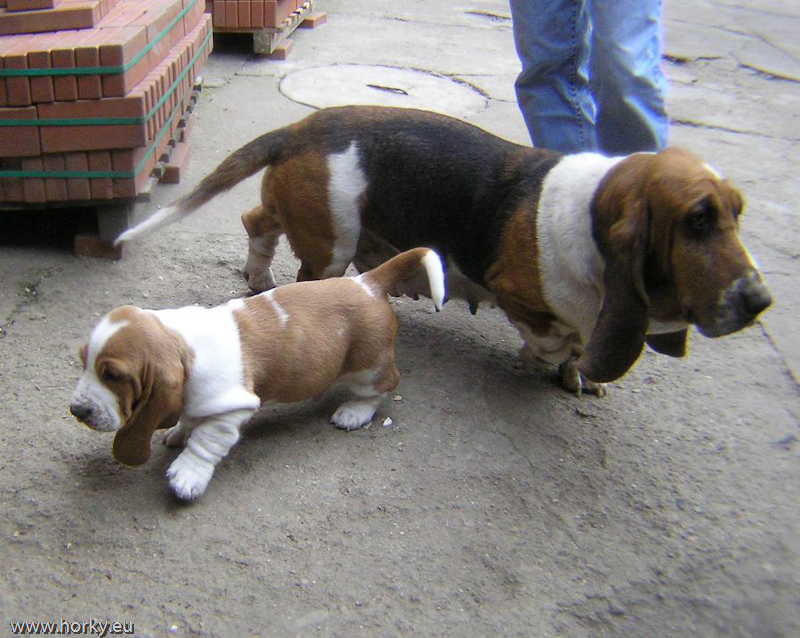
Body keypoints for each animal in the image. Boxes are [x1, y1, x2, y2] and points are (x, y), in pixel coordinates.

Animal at [70, 247, 445, 501]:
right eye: (83, 361)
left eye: (113, 375)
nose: (77, 411)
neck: (183, 345)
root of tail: (367, 283)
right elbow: (190, 418)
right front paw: (179, 430)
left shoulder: (232, 409)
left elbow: (204, 443)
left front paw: (187, 475)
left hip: (368, 366)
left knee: (382, 386)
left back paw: (353, 412)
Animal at [116, 105, 772, 395]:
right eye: (697, 220)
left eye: (737, 212)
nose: (760, 300)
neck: (588, 219)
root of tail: (303, 128)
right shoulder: (519, 294)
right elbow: (553, 337)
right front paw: (545, 362)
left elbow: (577, 345)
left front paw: (576, 377)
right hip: (333, 242)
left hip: (303, 214)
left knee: (256, 221)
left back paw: (256, 276)